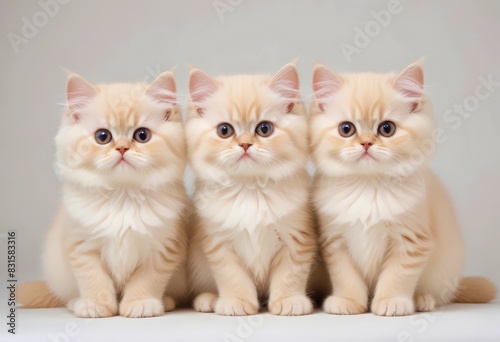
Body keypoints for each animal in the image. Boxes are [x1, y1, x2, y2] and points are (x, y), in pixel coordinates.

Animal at [18, 71, 189, 318]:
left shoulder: (163, 248)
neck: (123, 196)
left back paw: (165, 301)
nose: (122, 148)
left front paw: (140, 304)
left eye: (142, 135)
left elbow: (146, 281)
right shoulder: (82, 247)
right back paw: (76, 303)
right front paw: (96, 306)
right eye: (102, 136)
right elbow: (94, 281)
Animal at [188, 63, 316, 316]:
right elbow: (232, 277)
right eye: (225, 130)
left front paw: (288, 301)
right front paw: (236, 302)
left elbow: (290, 275)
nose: (245, 144)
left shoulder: (296, 239)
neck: (250, 189)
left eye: (264, 129)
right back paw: (208, 299)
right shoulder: (219, 244)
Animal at [310, 60, 498, 316]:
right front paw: (348, 301)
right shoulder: (335, 242)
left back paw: (421, 300)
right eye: (346, 129)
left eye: (387, 129)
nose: (366, 143)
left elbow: (396, 276)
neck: (368, 185)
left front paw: (391, 302)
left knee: (436, 294)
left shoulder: (411, 241)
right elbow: (346, 278)